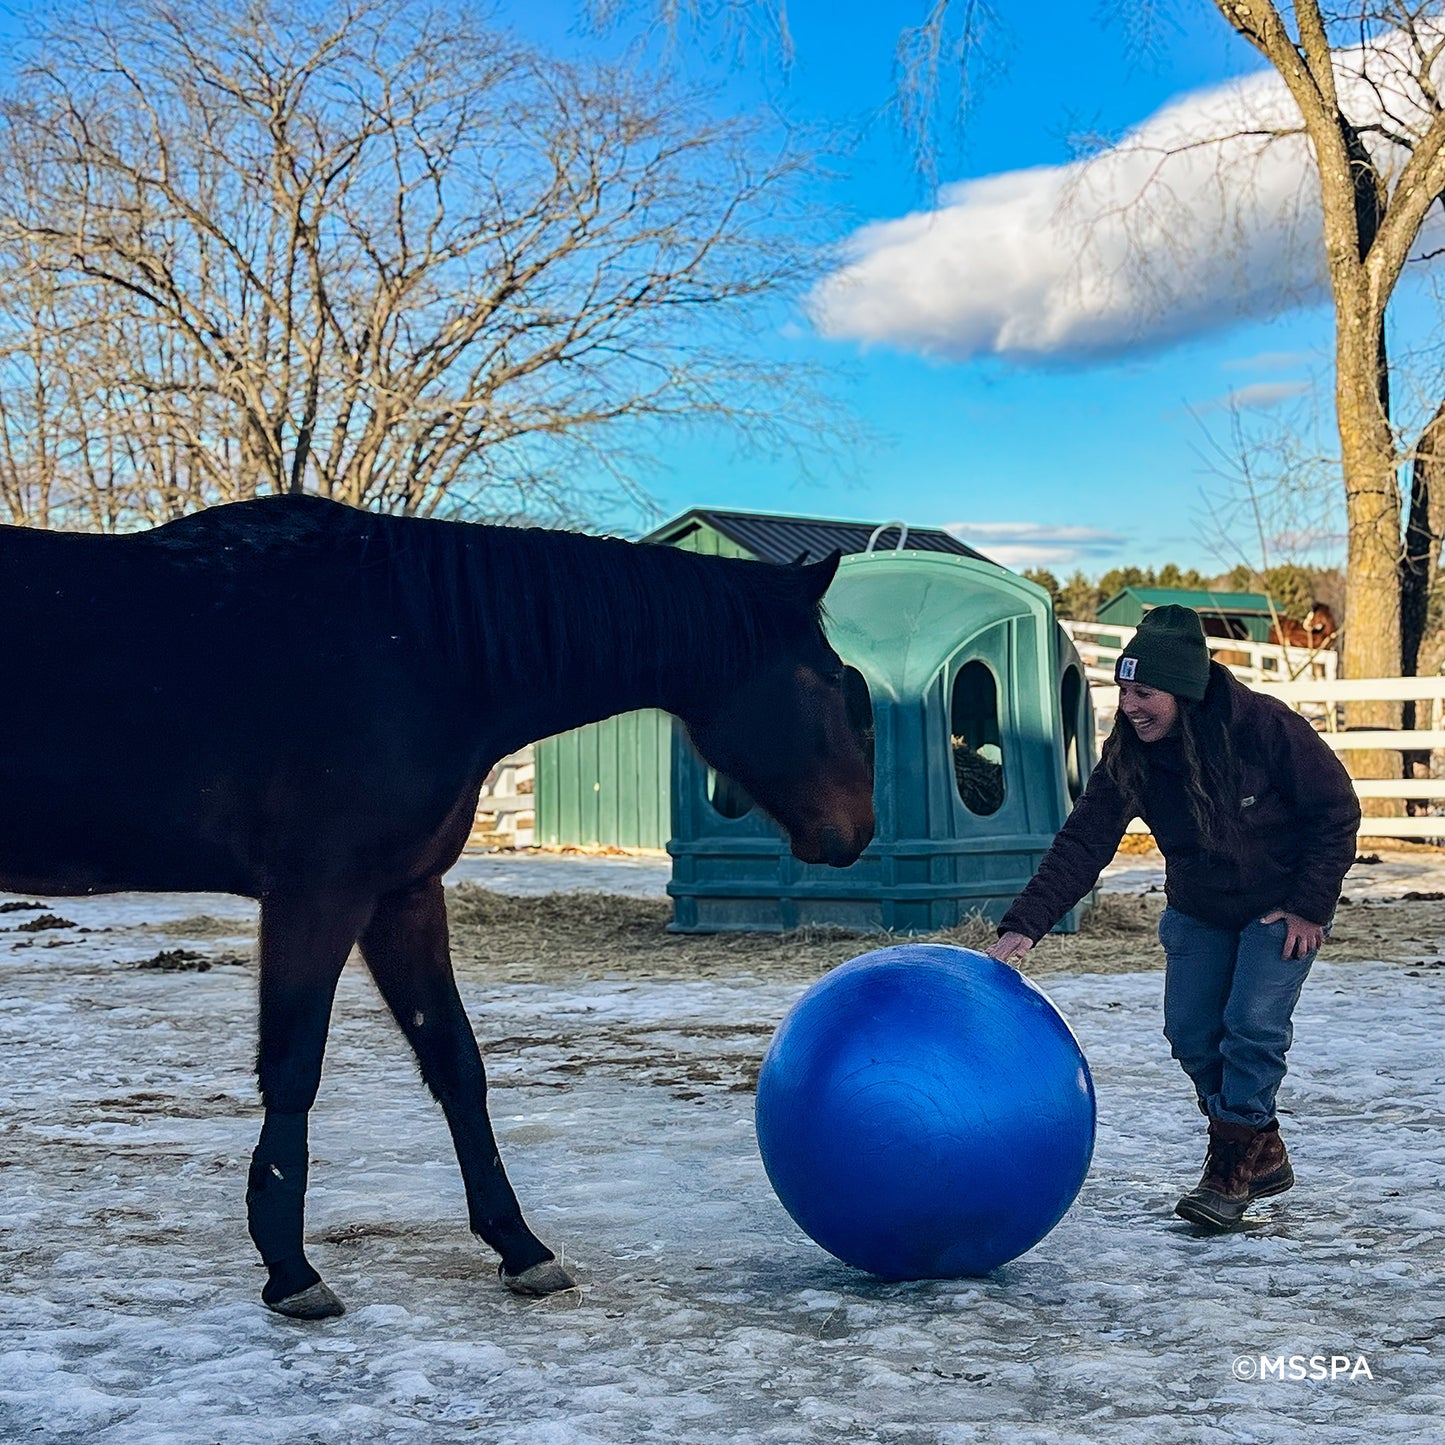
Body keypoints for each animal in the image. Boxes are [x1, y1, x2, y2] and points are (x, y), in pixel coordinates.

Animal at [0, 494, 875, 1319]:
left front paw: (519, 1245)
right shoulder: (318, 894)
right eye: (833, 678)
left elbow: (455, 1061)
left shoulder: (402, 894)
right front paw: (290, 1268)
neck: (415, 652)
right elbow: (293, 1067)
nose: (857, 831)